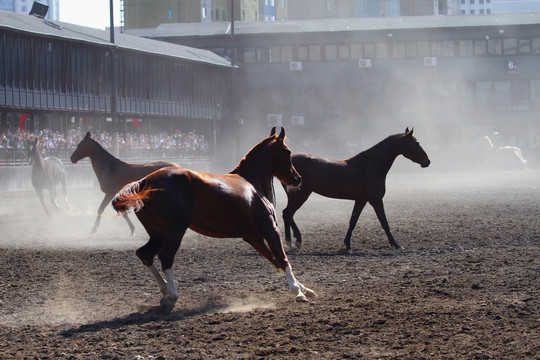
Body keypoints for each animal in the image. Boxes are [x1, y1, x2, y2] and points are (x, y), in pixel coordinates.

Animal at [113, 128, 316, 314]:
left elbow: (275, 262)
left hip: (158, 233)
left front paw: (306, 289)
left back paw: (164, 291)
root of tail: (143, 182)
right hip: (175, 230)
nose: (297, 179)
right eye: (288, 152)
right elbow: (283, 259)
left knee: (145, 254)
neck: (252, 185)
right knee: (166, 256)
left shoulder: (254, 238)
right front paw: (298, 292)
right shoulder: (270, 230)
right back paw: (171, 296)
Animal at [282, 128, 430, 252]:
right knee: (287, 214)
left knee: (288, 214)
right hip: (300, 196)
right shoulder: (376, 200)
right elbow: (384, 222)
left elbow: (353, 221)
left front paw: (347, 244)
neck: (370, 165)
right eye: (416, 143)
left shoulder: (361, 200)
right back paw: (294, 242)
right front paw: (396, 244)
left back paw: (293, 242)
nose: (427, 161)